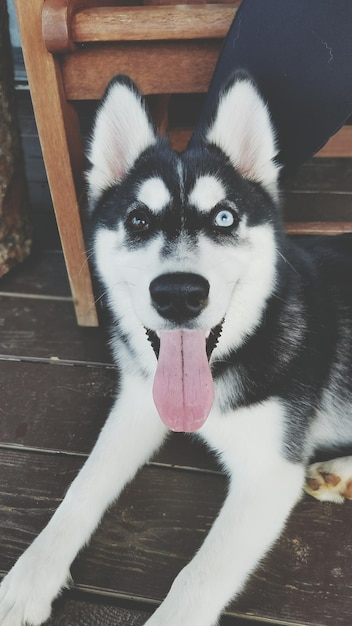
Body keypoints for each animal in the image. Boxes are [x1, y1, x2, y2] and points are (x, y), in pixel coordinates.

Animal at [0, 72, 352, 624]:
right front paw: (31, 576)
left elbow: (197, 577)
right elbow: (81, 486)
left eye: (225, 217)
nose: (179, 293)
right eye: (138, 220)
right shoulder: (137, 408)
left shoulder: (269, 474)